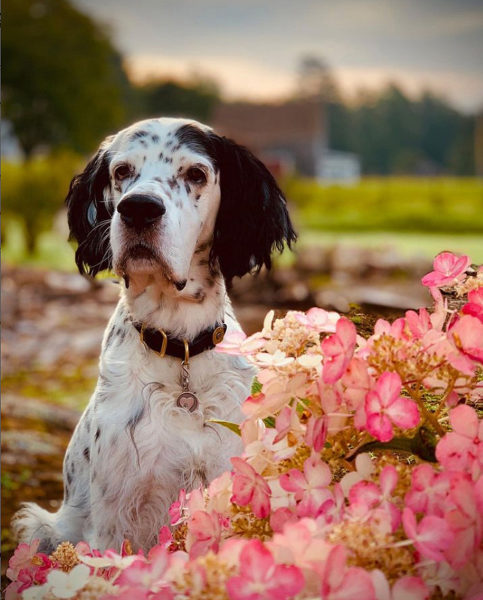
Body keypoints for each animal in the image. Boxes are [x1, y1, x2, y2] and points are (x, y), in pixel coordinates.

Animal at [12, 117, 294, 552]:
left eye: (196, 174)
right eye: (121, 172)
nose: (138, 208)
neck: (180, 351)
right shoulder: (114, 520)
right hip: (46, 529)